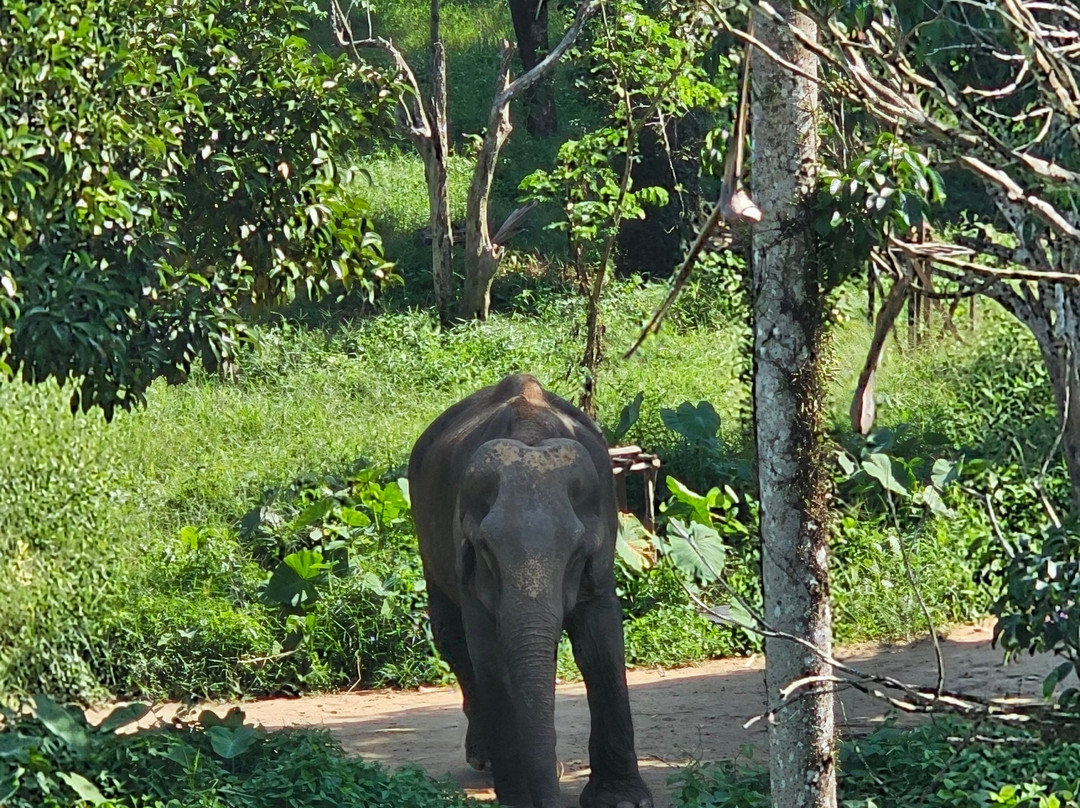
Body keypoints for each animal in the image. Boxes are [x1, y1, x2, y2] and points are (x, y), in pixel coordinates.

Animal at [408, 374, 653, 808]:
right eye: (486, 549)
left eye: (578, 552)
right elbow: (488, 651)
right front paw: (518, 797)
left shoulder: (604, 545)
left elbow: (600, 643)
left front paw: (623, 800)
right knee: (452, 638)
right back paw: (485, 758)